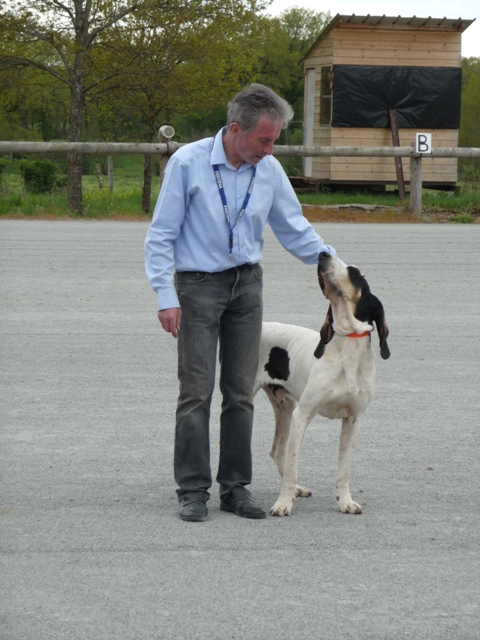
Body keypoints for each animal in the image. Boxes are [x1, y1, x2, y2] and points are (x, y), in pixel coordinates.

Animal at [253, 250, 388, 516]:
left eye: (353, 272)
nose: (323, 254)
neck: (348, 346)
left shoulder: (353, 420)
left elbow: (343, 470)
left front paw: (345, 501)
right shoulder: (303, 415)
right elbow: (293, 465)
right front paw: (283, 503)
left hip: (284, 408)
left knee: (277, 451)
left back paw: (297, 489)